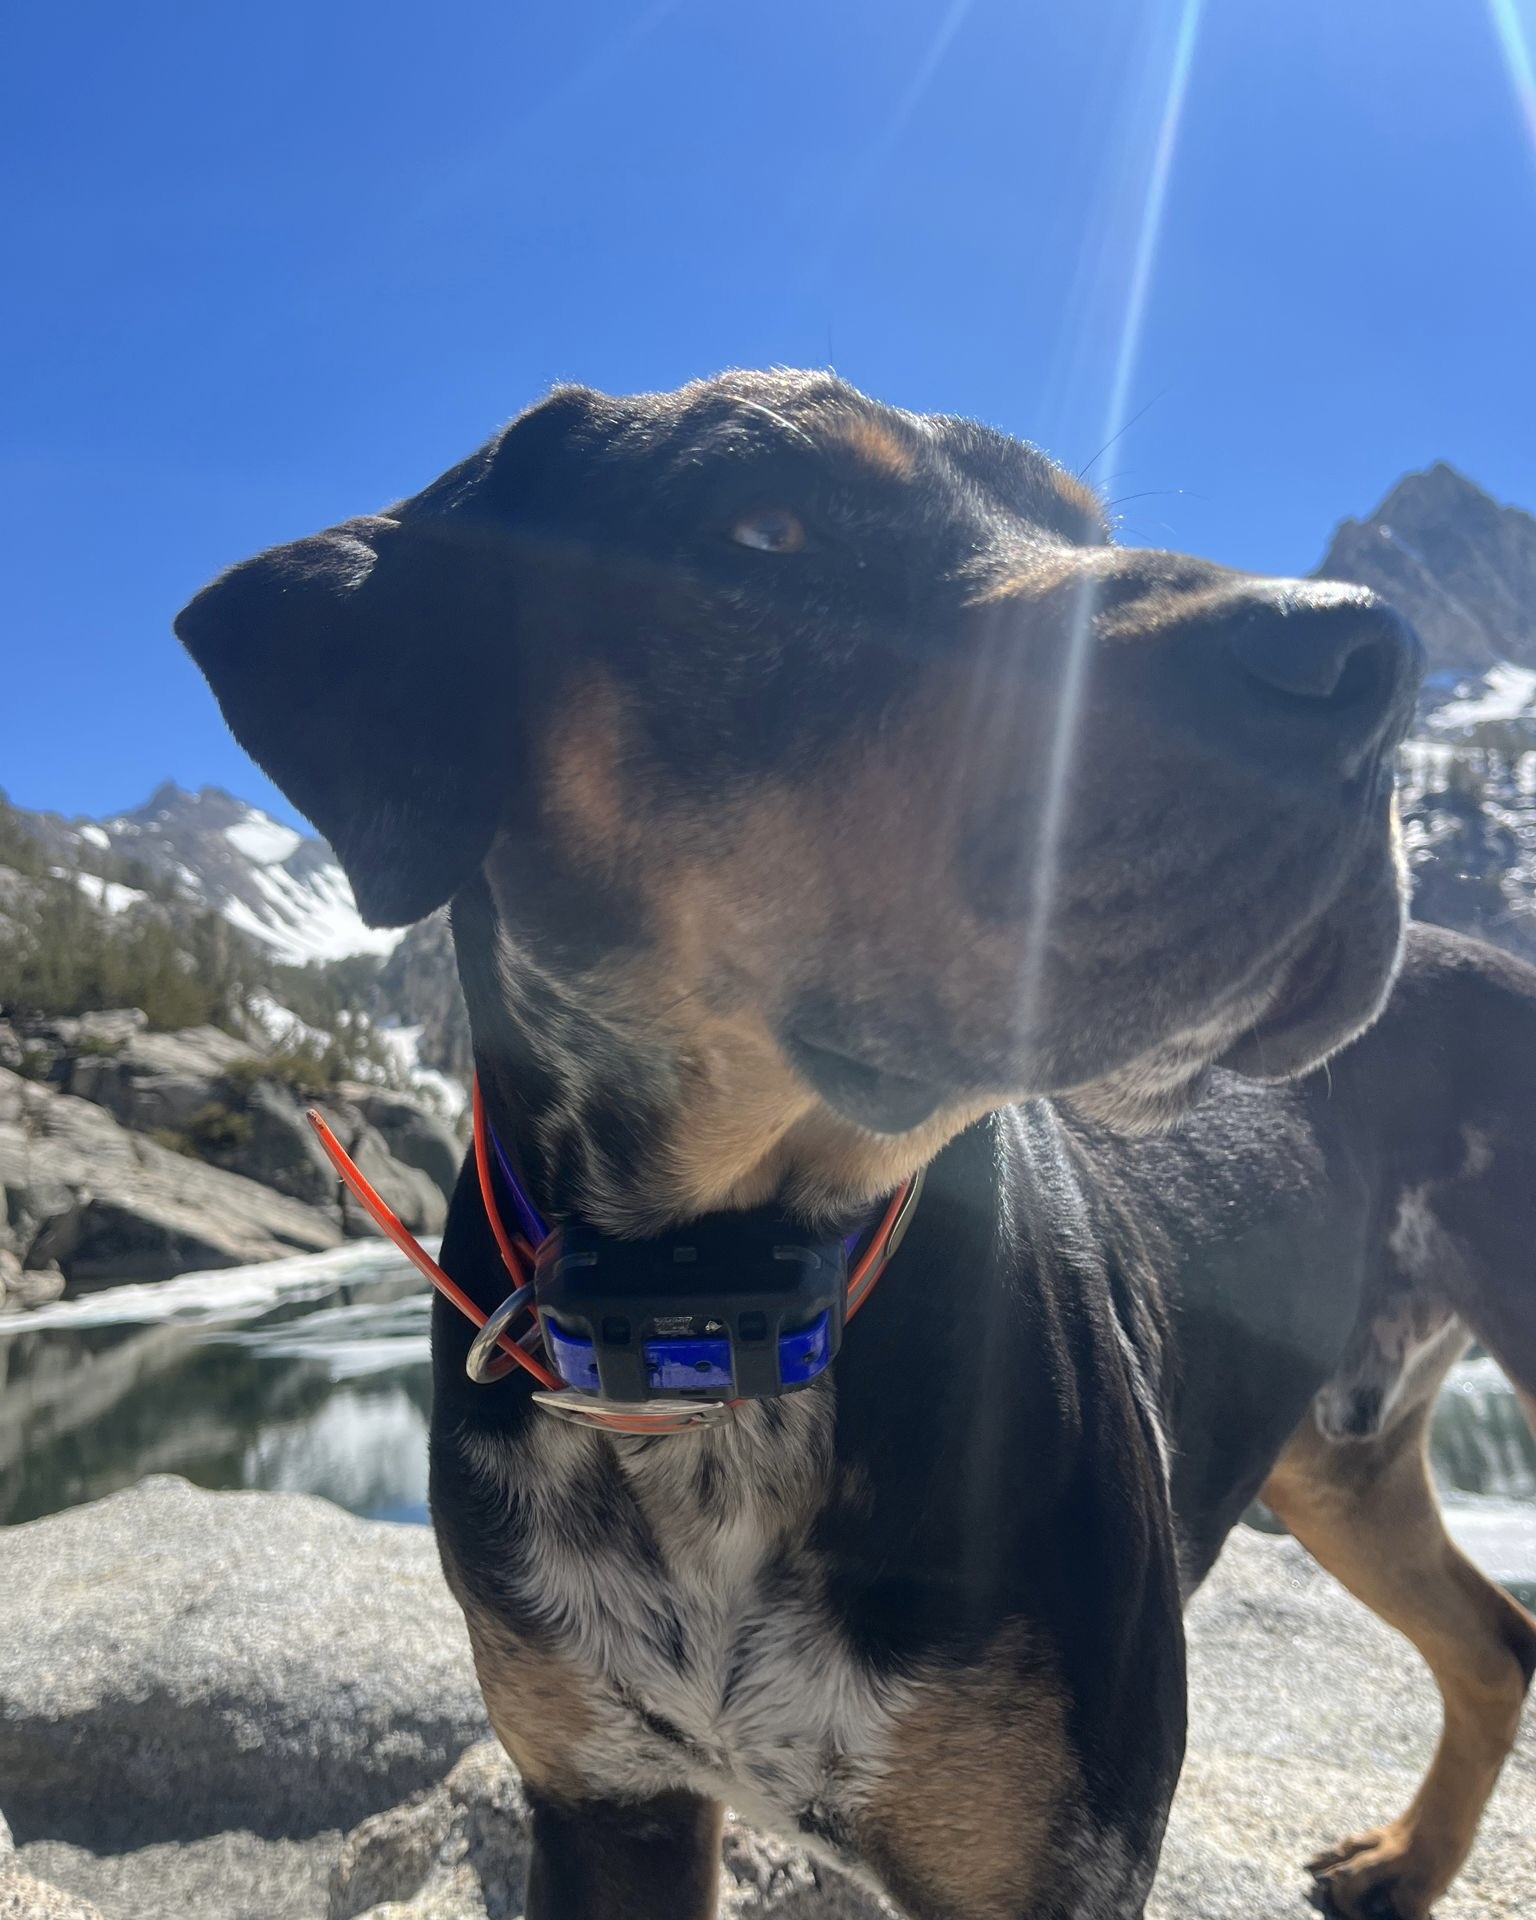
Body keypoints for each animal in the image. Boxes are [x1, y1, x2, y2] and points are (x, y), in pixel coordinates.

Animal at [175, 370, 1534, 1919]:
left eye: (1081, 524)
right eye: (766, 528)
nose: (1367, 659)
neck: (717, 1319)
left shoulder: (1054, 1858)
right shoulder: (600, 1800)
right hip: (1337, 1460)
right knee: (1494, 1640)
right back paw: (1406, 1865)